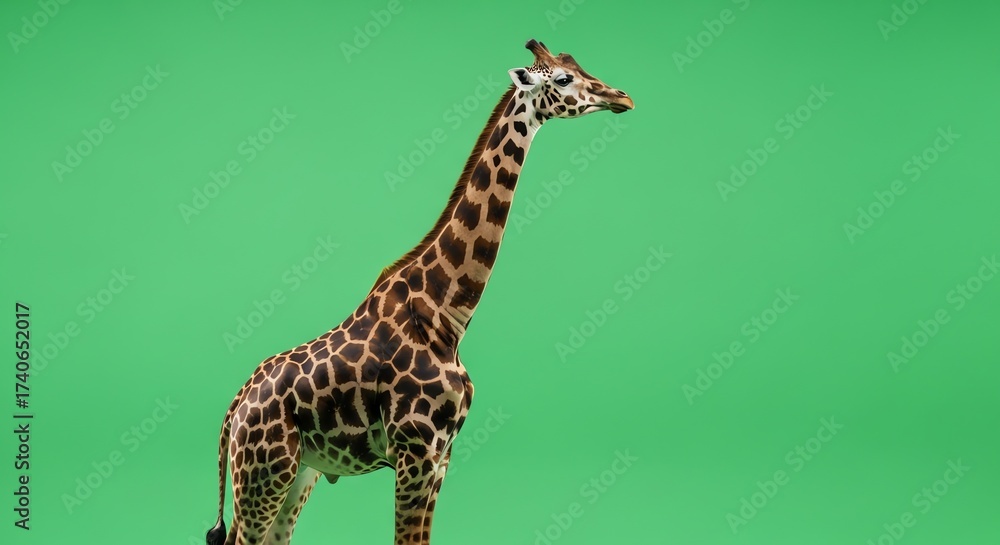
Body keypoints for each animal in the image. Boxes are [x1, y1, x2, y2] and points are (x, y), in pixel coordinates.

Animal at [206, 39, 634, 545]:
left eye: (578, 64)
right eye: (563, 78)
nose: (623, 97)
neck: (447, 313)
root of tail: (233, 410)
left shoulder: (441, 456)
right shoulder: (416, 451)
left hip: (297, 472)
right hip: (263, 471)